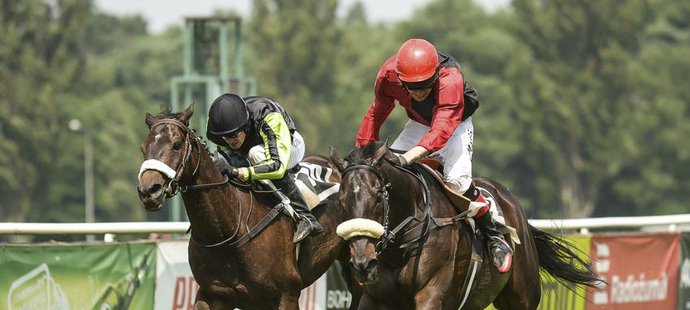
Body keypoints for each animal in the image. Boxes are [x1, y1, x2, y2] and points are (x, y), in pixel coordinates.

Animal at [136, 105, 360, 308]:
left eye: (176, 144)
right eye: (143, 147)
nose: (149, 190)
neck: (229, 230)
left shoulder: (287, 294)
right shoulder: (212, 294)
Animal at [326, 141, 596, 310]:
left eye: (377, 196)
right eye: (342, 200)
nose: (363, 262)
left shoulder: (431, 294)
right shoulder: (374, 298)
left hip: (522, 296)